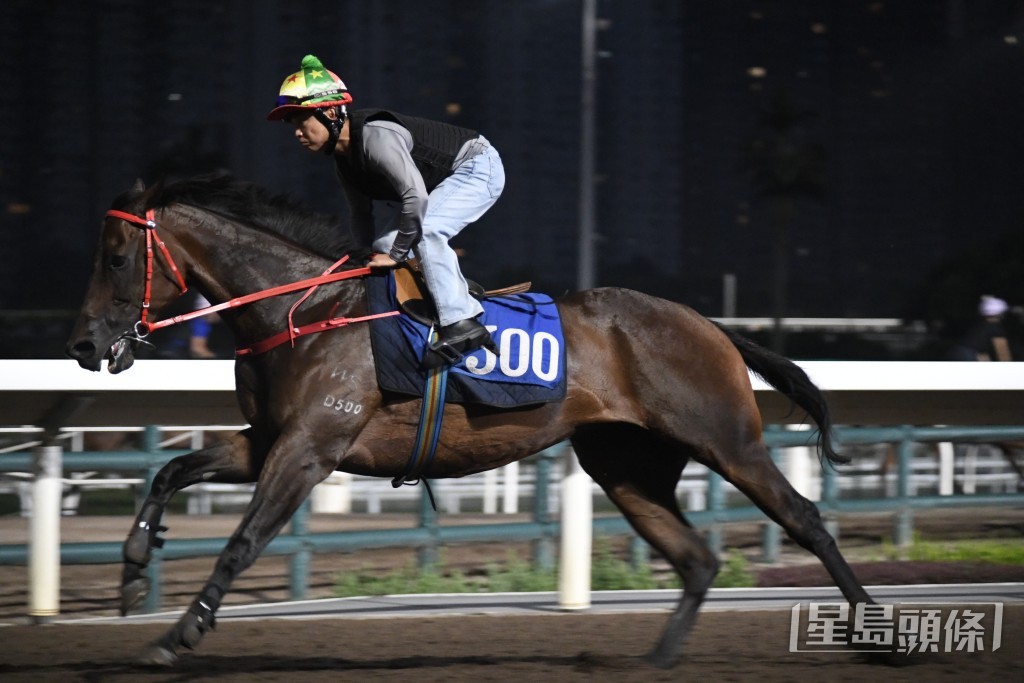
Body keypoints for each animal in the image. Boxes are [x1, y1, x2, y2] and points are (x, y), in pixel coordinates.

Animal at [64, 175, 872, 667]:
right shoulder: (268, 440)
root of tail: (710, 326)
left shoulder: (310, 448)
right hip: (625, 465)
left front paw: (178, 633)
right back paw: (657, 657)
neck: (303, 310)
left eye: (116, 256)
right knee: (697, 557)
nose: (83, 345)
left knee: (804, 517)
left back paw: (872, 631)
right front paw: (132, 571)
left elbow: (242, 541)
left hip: (727, 439)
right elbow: (172, 469)